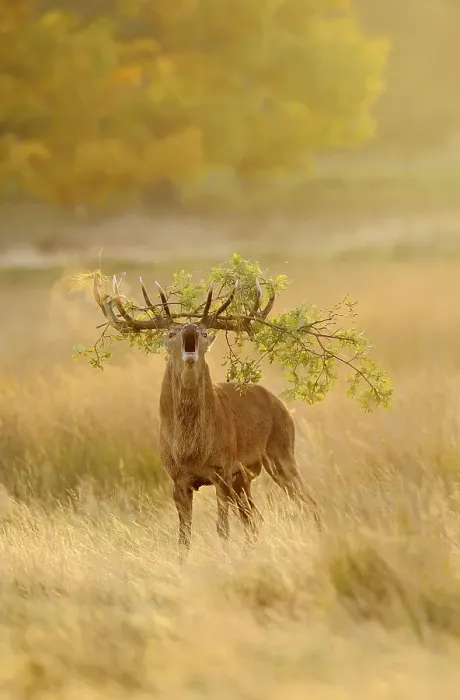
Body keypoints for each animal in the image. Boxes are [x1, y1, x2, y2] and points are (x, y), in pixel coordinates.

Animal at [93, 273, 321, 561]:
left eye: (203, 333)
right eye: (171, 333)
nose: (190, 326)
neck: (192, 450)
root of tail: (280, 404)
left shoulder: (221, 470)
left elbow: (222, 529)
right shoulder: (177, 478)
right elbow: (183, 538)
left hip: (280, 451)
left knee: (307, 503)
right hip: (245, 478)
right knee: (255, 519)